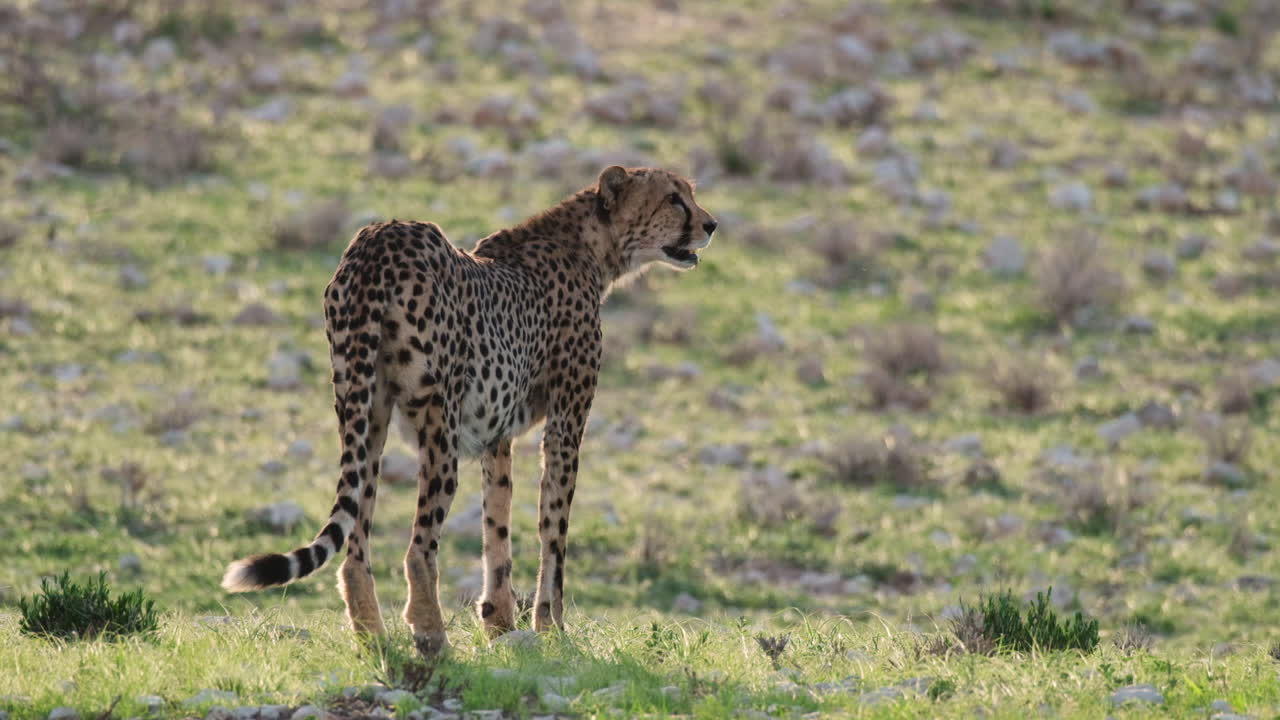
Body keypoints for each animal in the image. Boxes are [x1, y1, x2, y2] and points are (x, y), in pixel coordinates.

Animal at [222, 166, 717, 652]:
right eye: (674, 198)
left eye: (688, 193)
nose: (710, 224)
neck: (592, 246)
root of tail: (381, 237)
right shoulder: (565, 424)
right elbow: (553, 528)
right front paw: (552, 628)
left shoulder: (497, 434)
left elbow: (497, 524)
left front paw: (499, 623)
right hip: (437, 423)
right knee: (418, 547)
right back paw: (431, 635)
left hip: (363, 412)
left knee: (356, 540)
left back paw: (374, 639)